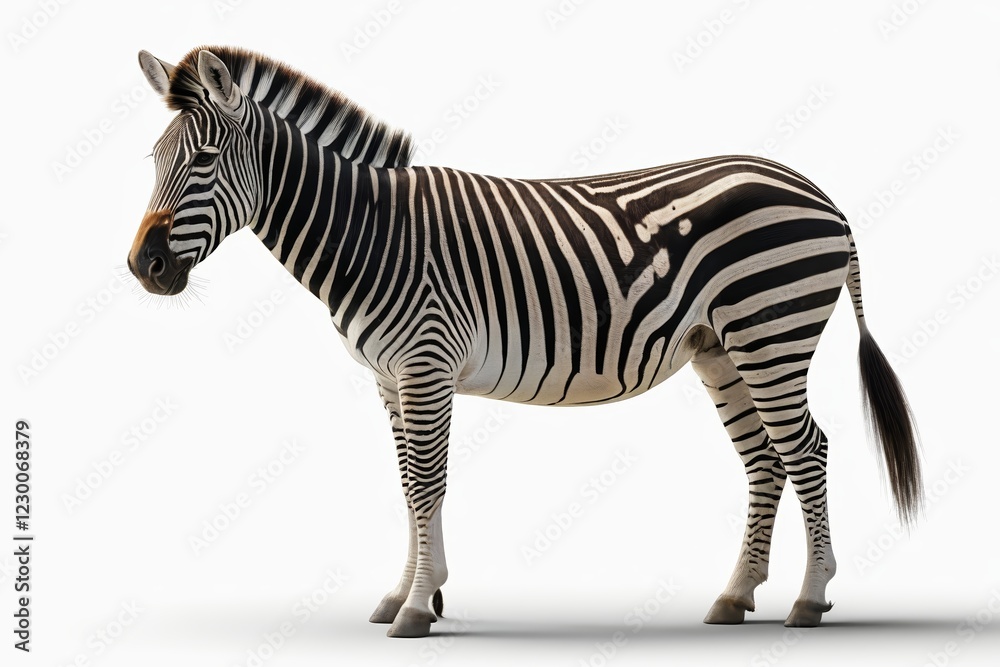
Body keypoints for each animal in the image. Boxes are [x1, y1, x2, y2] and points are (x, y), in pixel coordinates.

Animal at [128, 46, 922, 638]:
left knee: (806, 449)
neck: (371, 232)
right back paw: (735, 596)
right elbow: (406, 483)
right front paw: (408, 593)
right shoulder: (389, 375)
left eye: (202, 160)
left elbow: (427, 481)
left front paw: (418, 606)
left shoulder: (425, 361)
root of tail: (821, 194)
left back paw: (809, 598)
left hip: (770, 331)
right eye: (153, 159)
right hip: (719, 346)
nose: (145, 267)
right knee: (764, 459)